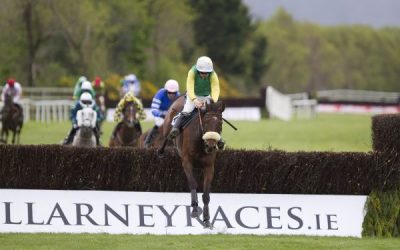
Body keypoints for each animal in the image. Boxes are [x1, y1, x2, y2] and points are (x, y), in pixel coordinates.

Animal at [162, 95, 225, 229]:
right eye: (206, 122)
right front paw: (195, 210)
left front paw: (207, 220)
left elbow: (206, 193)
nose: (211, 146)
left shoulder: (209, 166)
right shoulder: (187, 162)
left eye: (220, 123)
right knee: (165, 136)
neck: (200, 143)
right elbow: (193, 184)